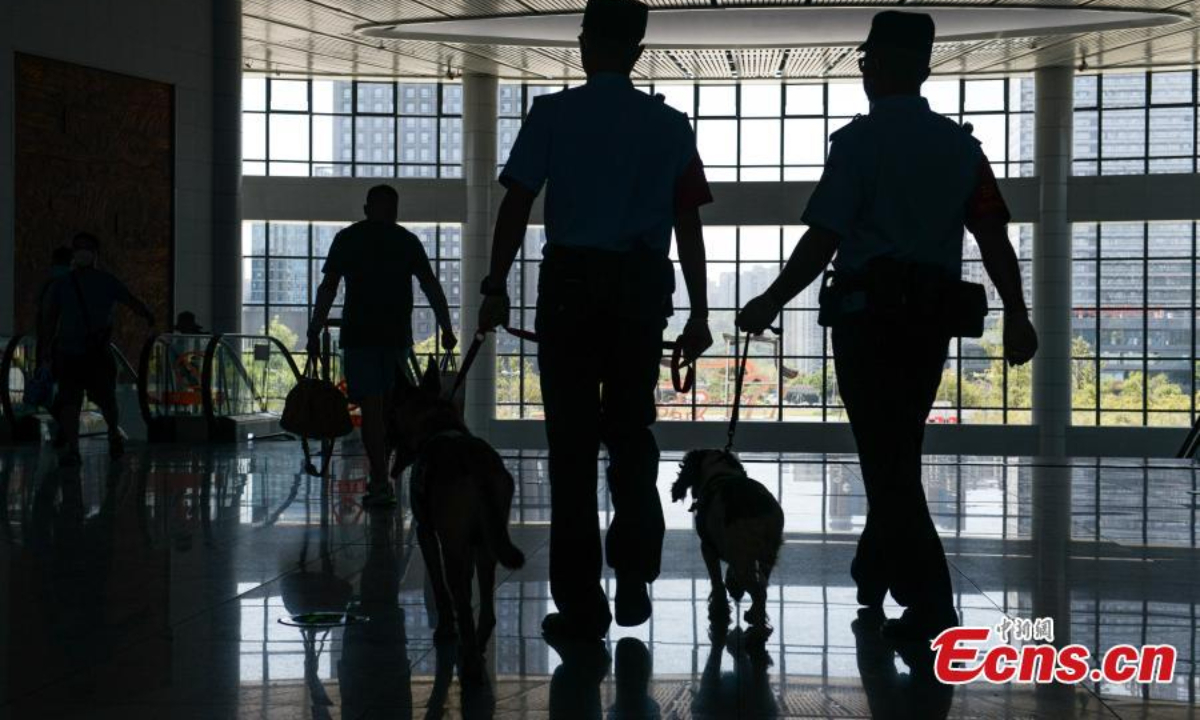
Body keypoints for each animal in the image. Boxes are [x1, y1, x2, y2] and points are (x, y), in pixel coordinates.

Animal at [393, 360, 525, 681]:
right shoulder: (471, 542)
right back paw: (475, 649)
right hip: (488, 543)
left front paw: (445, 628)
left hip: (452, 546)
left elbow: (440, 589)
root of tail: (475, 464)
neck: (438, 425)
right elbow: (466, 583)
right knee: (486, 611)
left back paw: (471, 665)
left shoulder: (427, 533)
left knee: (462, 604)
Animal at [676, 451, 787, 633]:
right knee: (762, 586)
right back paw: (754, 613)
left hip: (743, 558)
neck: (721, 473)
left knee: (758, 592)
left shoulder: (708, 547)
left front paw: (719, 610)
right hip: (766, 555)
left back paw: (757, 622)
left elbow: (717, 582)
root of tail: (757, 509)